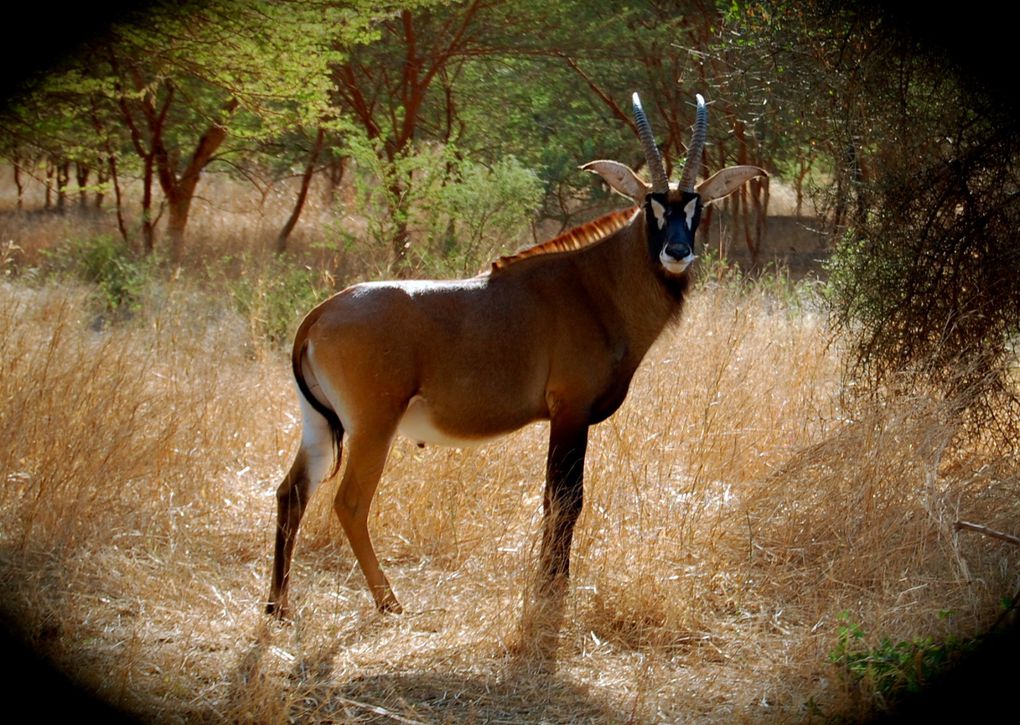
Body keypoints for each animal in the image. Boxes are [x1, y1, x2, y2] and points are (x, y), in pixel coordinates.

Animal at [267, 93, 767, 619]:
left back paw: (278, 605)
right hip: (372, 426)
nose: (677, 251)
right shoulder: (570, 412)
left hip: (320, 424)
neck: (596, 285)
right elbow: (565, 499)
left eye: (696, 205)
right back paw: (389, 602)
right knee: (349, 503)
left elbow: (555, 498)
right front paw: (553, 584)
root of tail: (319, 315)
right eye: (649, 204)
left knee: (291, 493)